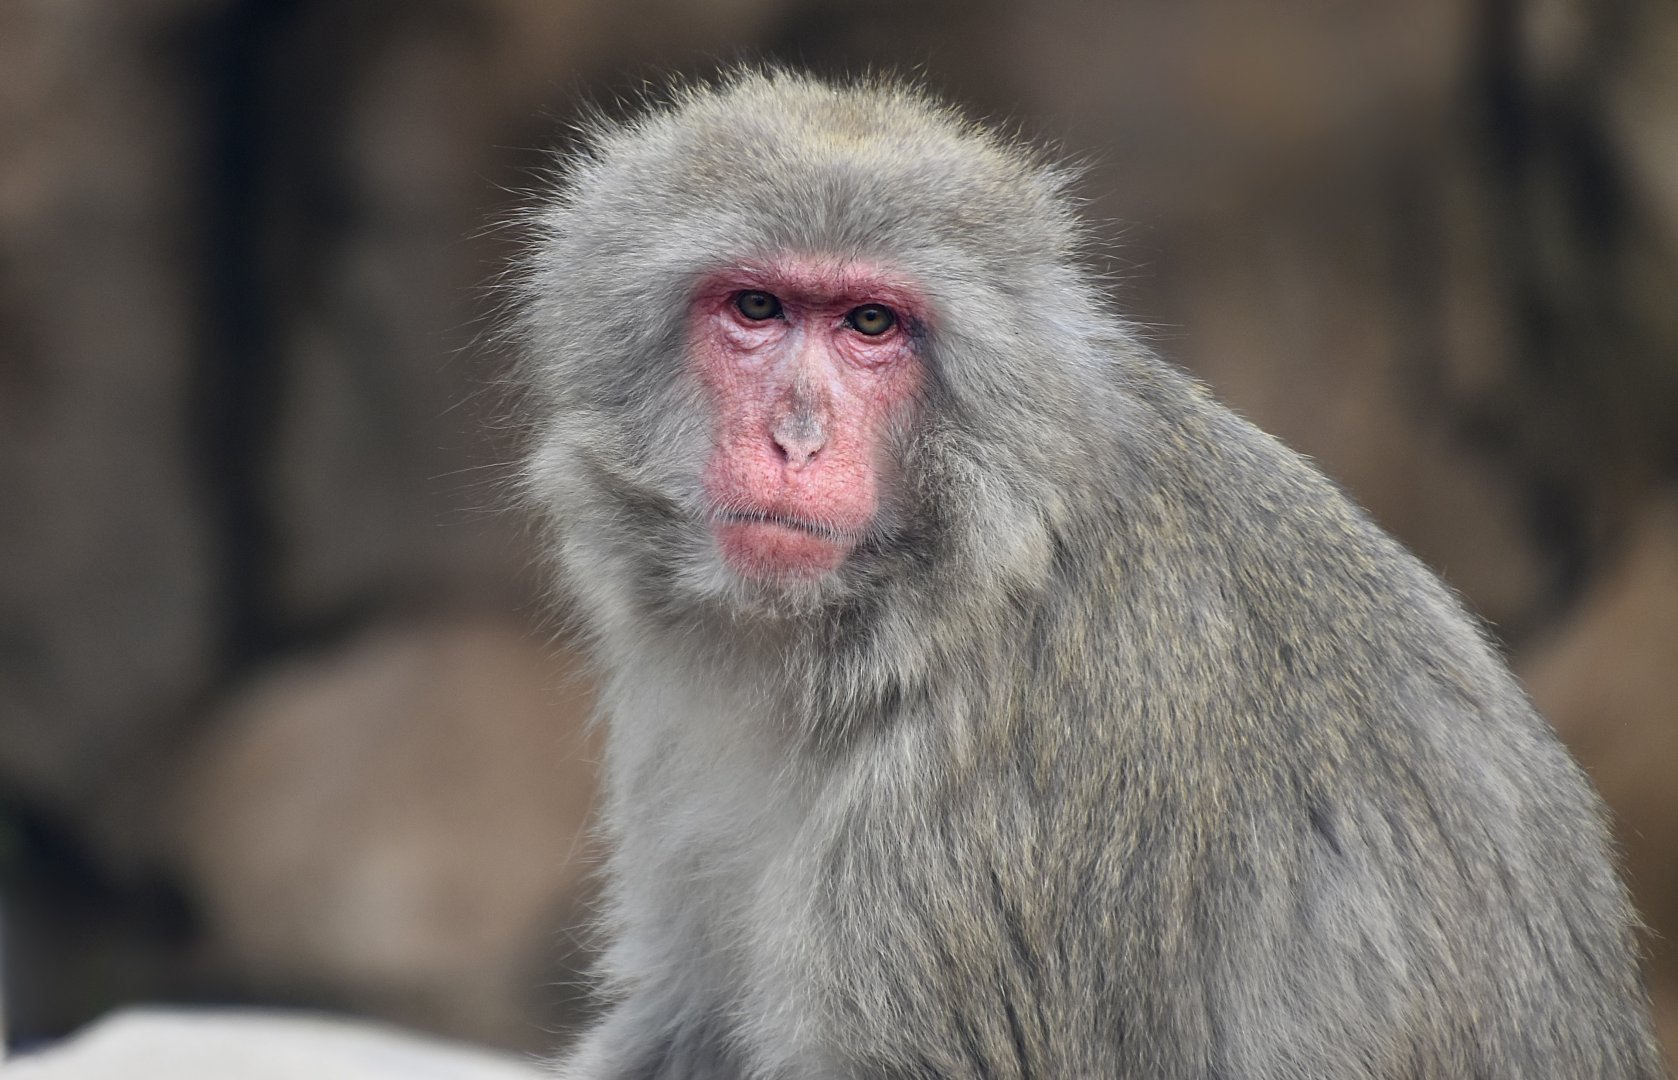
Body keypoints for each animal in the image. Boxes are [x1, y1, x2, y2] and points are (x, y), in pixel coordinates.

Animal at [512, 71, 1666, 1079]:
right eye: (756, 308)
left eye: (869, 324)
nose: (796, 437)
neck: (942, 591)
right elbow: (686, 1025)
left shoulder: (1014, 787)